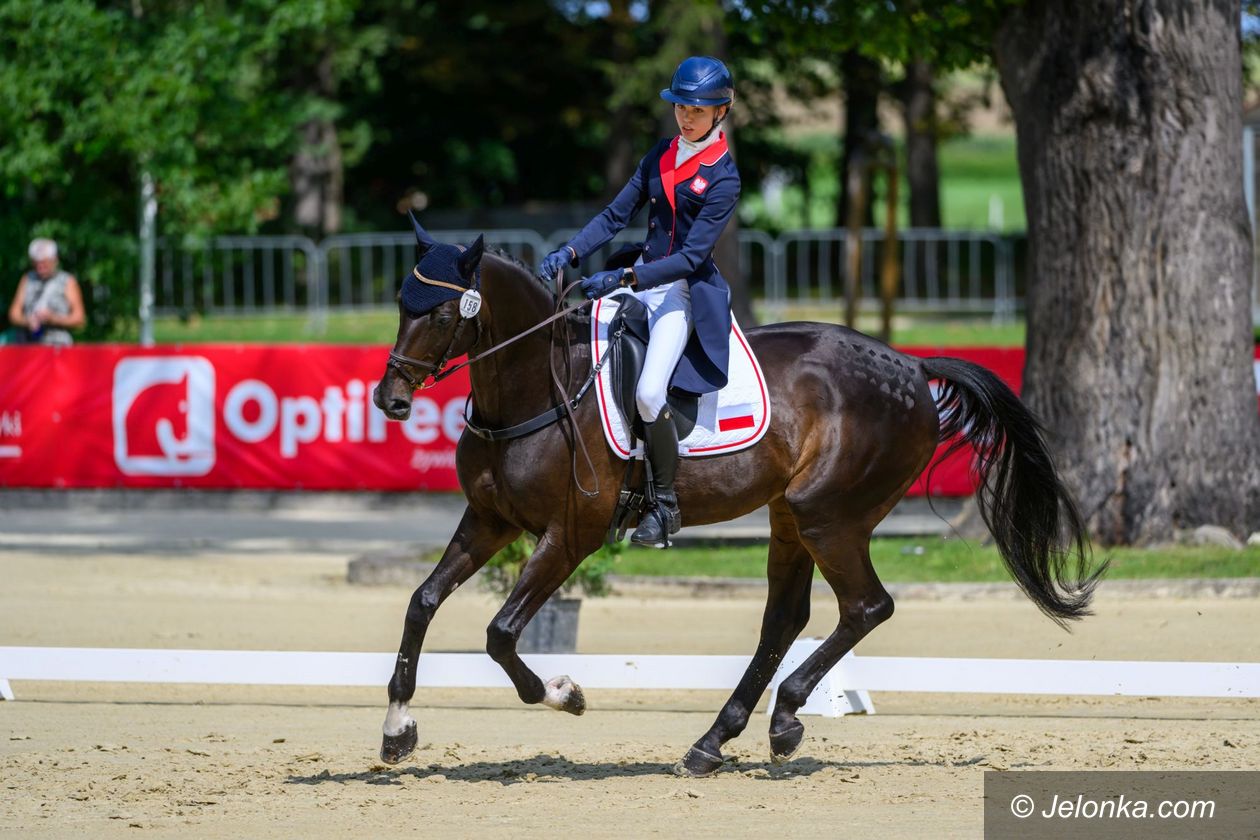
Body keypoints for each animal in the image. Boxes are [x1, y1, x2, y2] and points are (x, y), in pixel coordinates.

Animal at [367, 226, 1098, 780]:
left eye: (440, 312)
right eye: (401, 302)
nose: (391, 401)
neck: (533, 388)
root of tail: (912, 367)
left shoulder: (572, 534)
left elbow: (499, 633)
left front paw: (563, 694)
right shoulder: (489, 521)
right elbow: (421, 603)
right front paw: (398, 730)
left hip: (827, 514)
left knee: (865, 607)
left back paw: (783, 720)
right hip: (789, 517)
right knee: (785, 619)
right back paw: (717, 739)